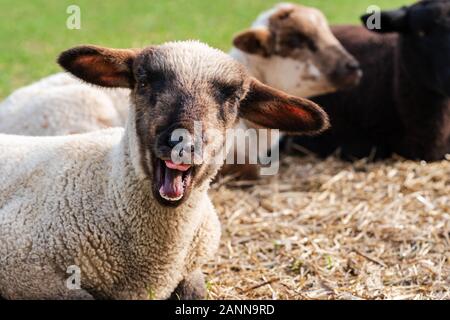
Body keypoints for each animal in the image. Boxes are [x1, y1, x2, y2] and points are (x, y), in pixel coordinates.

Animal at [0, 40, 326, 300]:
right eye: (144, 81)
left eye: (233, 97)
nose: (184, 142)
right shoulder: (22, 266)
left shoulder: (191, 267)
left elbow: (195, 291)